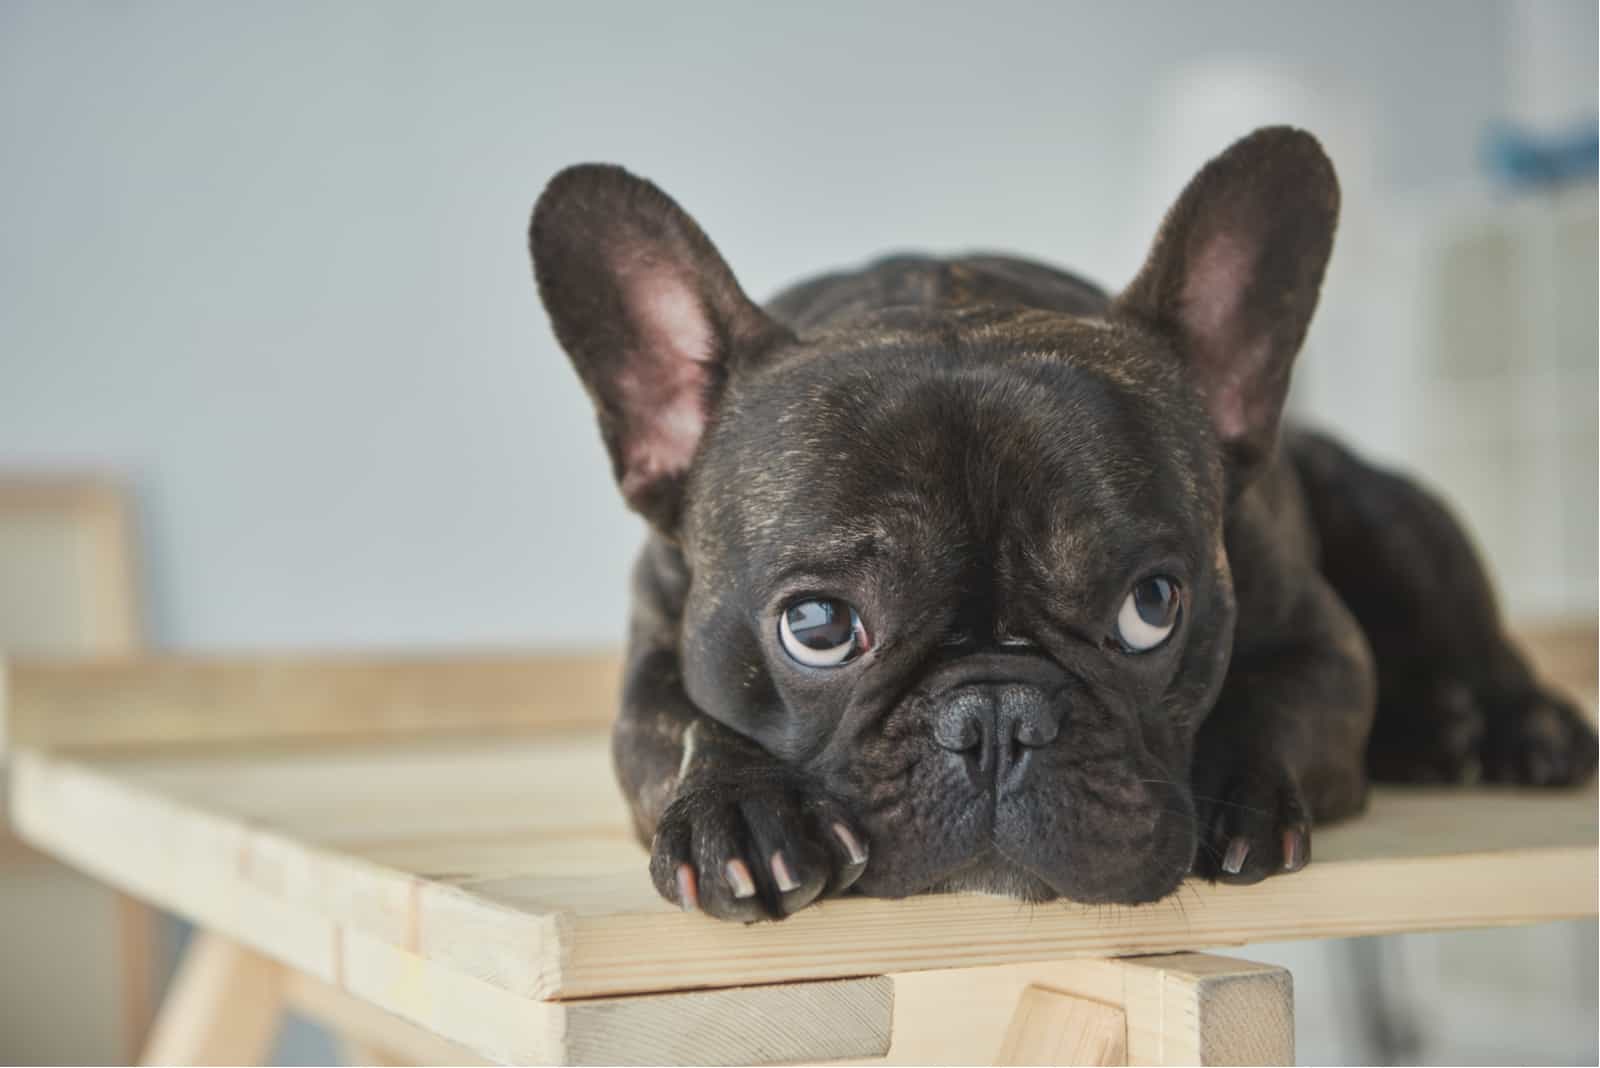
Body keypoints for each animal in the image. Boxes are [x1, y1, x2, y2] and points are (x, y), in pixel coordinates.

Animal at [528, 129, 1600, 920]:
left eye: (1151, 607)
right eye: (819, 627)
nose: (997, 717)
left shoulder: (1325, 648)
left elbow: (1275, 697)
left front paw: (1238, 793)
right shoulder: (650, 660)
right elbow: (677, 726)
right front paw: (737, 810)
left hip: (1392, 515)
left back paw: (1511, 724)